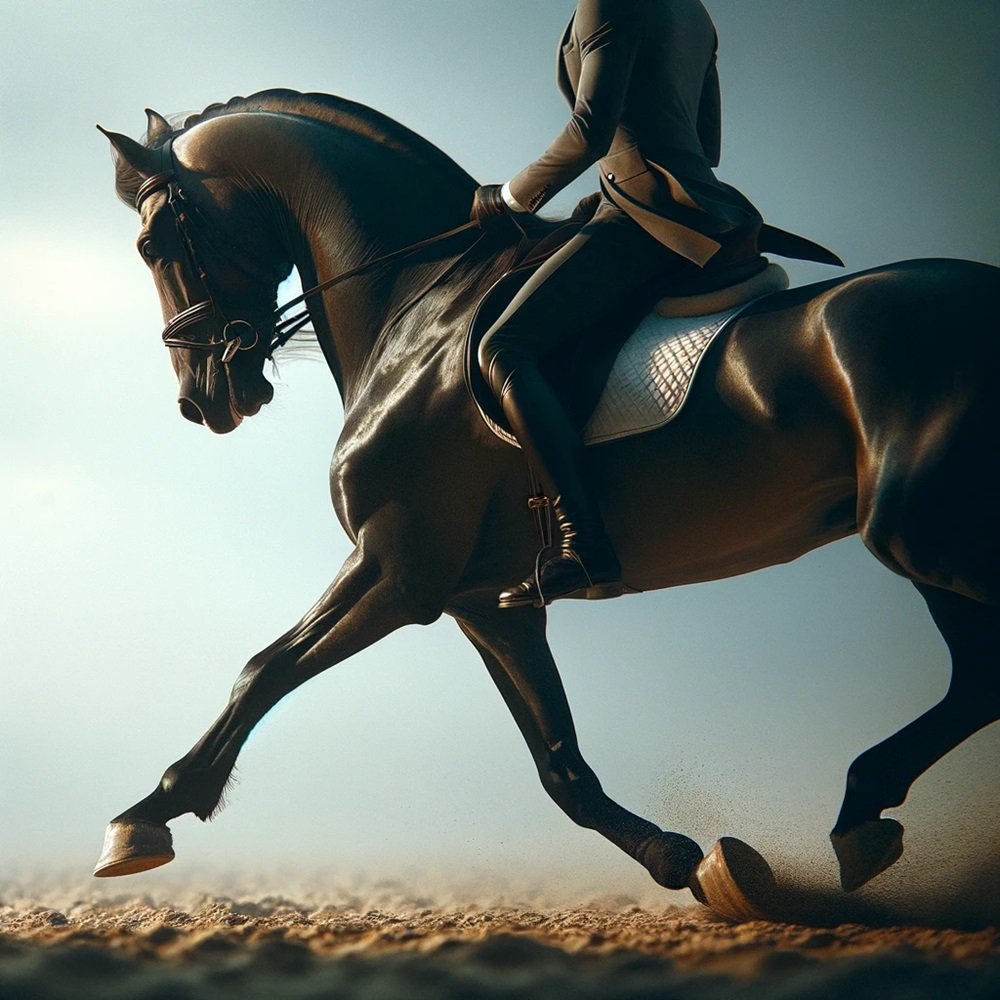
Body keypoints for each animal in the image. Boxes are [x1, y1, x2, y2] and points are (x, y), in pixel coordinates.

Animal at [95, 90, 999, 919]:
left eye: (150, 243)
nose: (203, 400)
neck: (418, 306)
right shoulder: (484, 603)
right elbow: (561, 765)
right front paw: (688, 861)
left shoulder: (397, 565)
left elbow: (265, 669)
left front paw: (145, 818)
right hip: (922, 545)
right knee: (975, 682)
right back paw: (859, 818)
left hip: (921, 534)